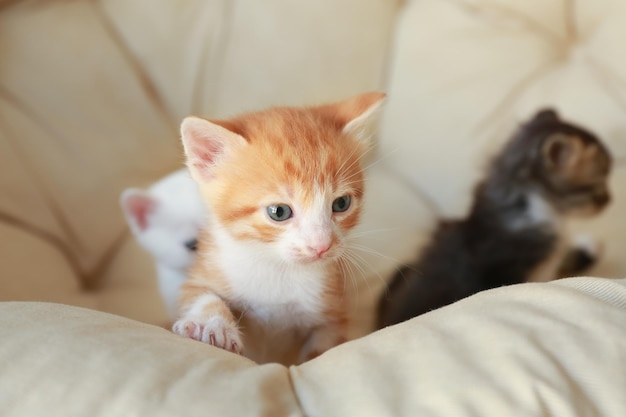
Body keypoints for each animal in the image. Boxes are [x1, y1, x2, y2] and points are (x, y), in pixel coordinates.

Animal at [172, 92, 386, 364]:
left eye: (341, 203)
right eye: (279, 212)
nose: (321, 246)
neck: (277, 267)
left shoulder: (334, 309)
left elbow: (323, 348)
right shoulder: (206, 269)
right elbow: (200, 294)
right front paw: (211, 325)